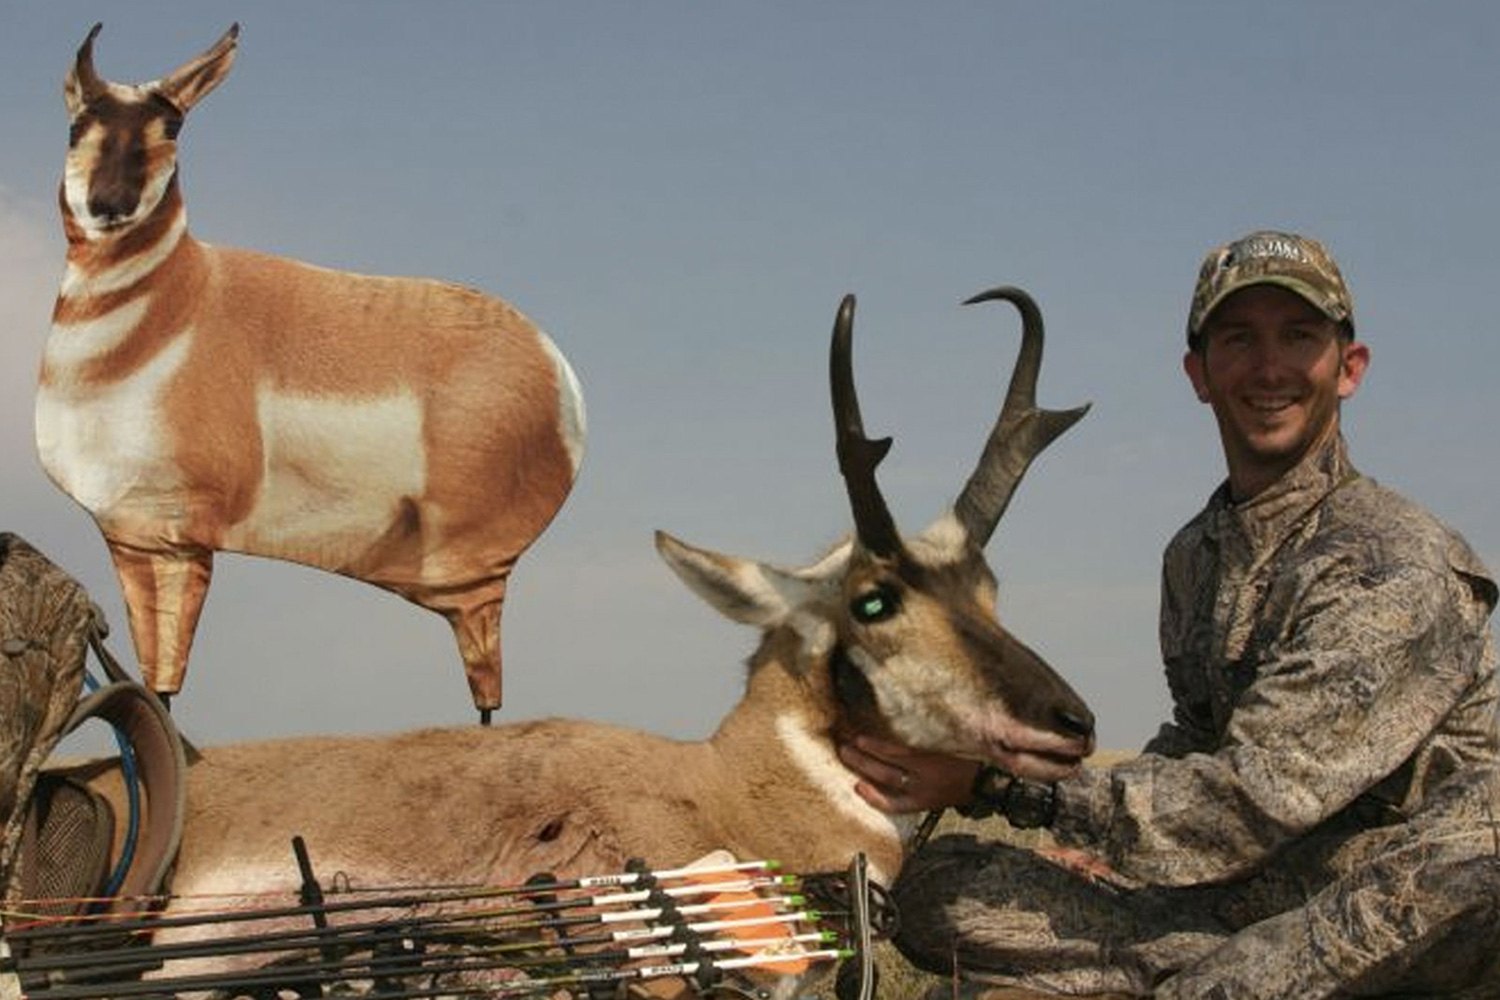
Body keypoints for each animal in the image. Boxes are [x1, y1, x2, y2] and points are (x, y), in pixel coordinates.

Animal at [35, 23, 585, 719]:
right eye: (78, 124)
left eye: (172, 128)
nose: (111, 204)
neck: (176, 304)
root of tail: (552, 360)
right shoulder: (137, 537)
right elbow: (158, 684)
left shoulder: (177, 536)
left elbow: (164, 684)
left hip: (469, 566)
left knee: (485, 684)